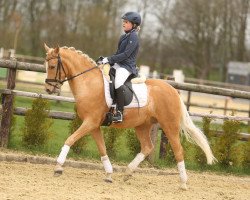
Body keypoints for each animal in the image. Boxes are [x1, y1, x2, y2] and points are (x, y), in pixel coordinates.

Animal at [44, 43, 216, 189]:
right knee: (147, 147)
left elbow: (70, 139)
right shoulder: (93, 125)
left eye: (52, 66)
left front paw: (58, 167)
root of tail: (173, 90)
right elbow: (102, 149)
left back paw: (183, 183)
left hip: (169, 125)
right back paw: (128, 172)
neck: (89, 83)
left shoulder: (90, 122)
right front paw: (109, 174)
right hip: (142, 125)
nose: (48, 89)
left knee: (178, 151)